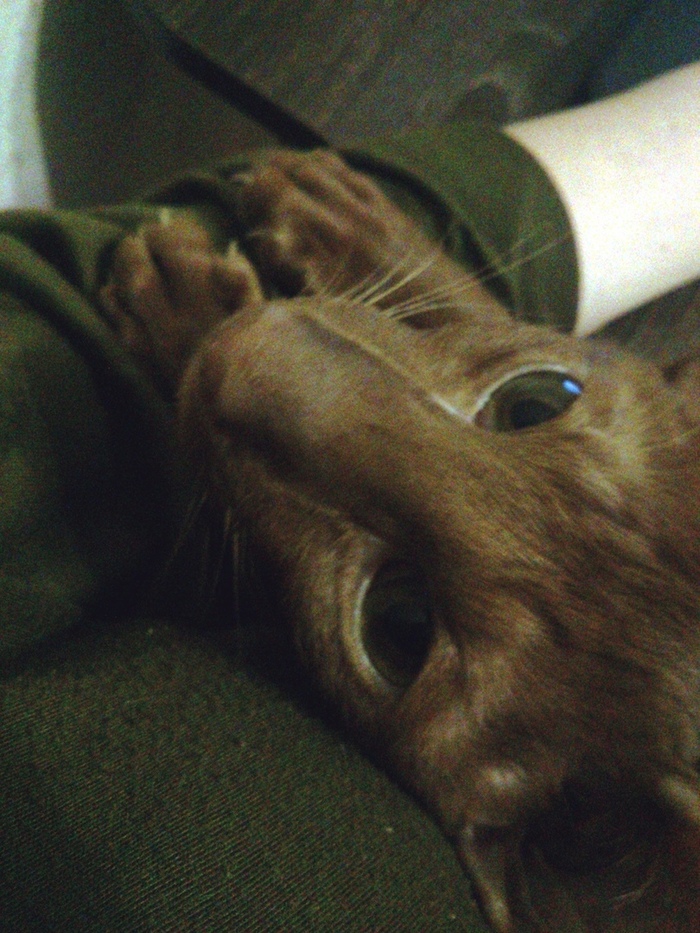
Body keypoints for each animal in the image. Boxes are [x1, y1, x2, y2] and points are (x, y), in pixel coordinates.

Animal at [100, 149, 700, 931]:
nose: (239, 348)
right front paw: (334, 213)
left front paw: (176, 303)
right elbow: (470, 301)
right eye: (536, 401)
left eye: (399, 624)